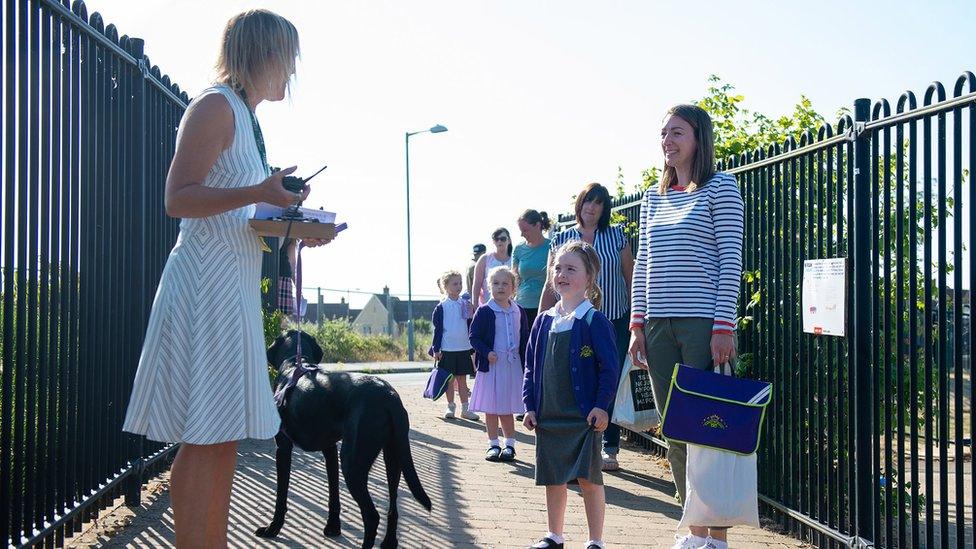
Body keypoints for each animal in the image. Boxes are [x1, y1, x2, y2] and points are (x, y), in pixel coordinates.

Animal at [255, 328, 430, 544]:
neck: (295, 363)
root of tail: (389, 396)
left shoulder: (283, 448)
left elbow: (281, 496)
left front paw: (272, 529)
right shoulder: (330, 450)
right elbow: (334, 493)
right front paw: (333, 526)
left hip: (352, 462)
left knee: (372, 516)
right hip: (393, 457)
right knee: (393, 506)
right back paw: (389, 542)